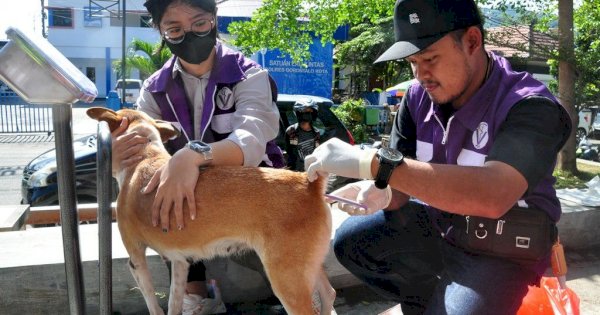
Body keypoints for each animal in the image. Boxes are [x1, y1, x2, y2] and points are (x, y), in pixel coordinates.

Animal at [88, 107, 338, 314]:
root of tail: (309, 183)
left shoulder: (136, 259)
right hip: (309, 267)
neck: (144, 157)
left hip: (287, 281)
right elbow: (173, 303)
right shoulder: (180, 263)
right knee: (329, 294)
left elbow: (152, 303)